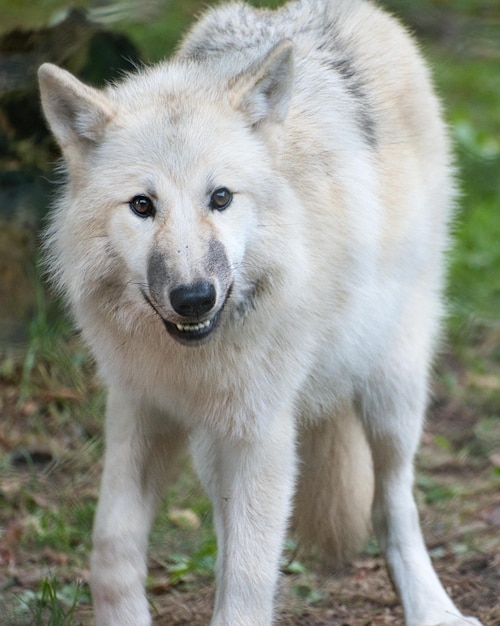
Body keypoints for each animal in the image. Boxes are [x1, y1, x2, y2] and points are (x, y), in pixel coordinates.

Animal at [37, 0, 482, 620]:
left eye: (221, 197)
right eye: (142, 206)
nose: (194, 297)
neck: (192, 358)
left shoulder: (262, 431)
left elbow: (249, 583)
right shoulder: (140, 408)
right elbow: (111, 547)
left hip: (392, 386)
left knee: (393, 501)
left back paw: (432, 608)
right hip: (212, 446)